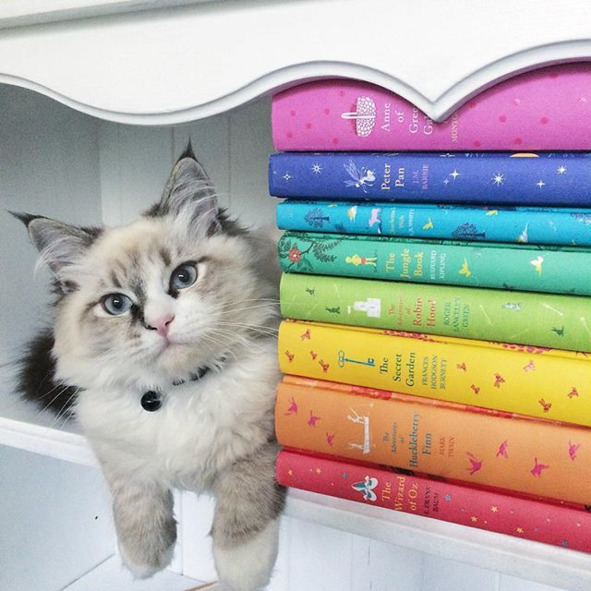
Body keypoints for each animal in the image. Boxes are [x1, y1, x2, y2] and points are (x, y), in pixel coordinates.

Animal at [13, 145, 286, 591]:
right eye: (117, 304)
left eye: (184, 276)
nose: (161, 323)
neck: (179, 389)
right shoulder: (114, 444)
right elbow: (134, 498)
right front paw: (142, 560)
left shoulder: (267, 429)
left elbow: (245, 495)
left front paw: (241, 570)